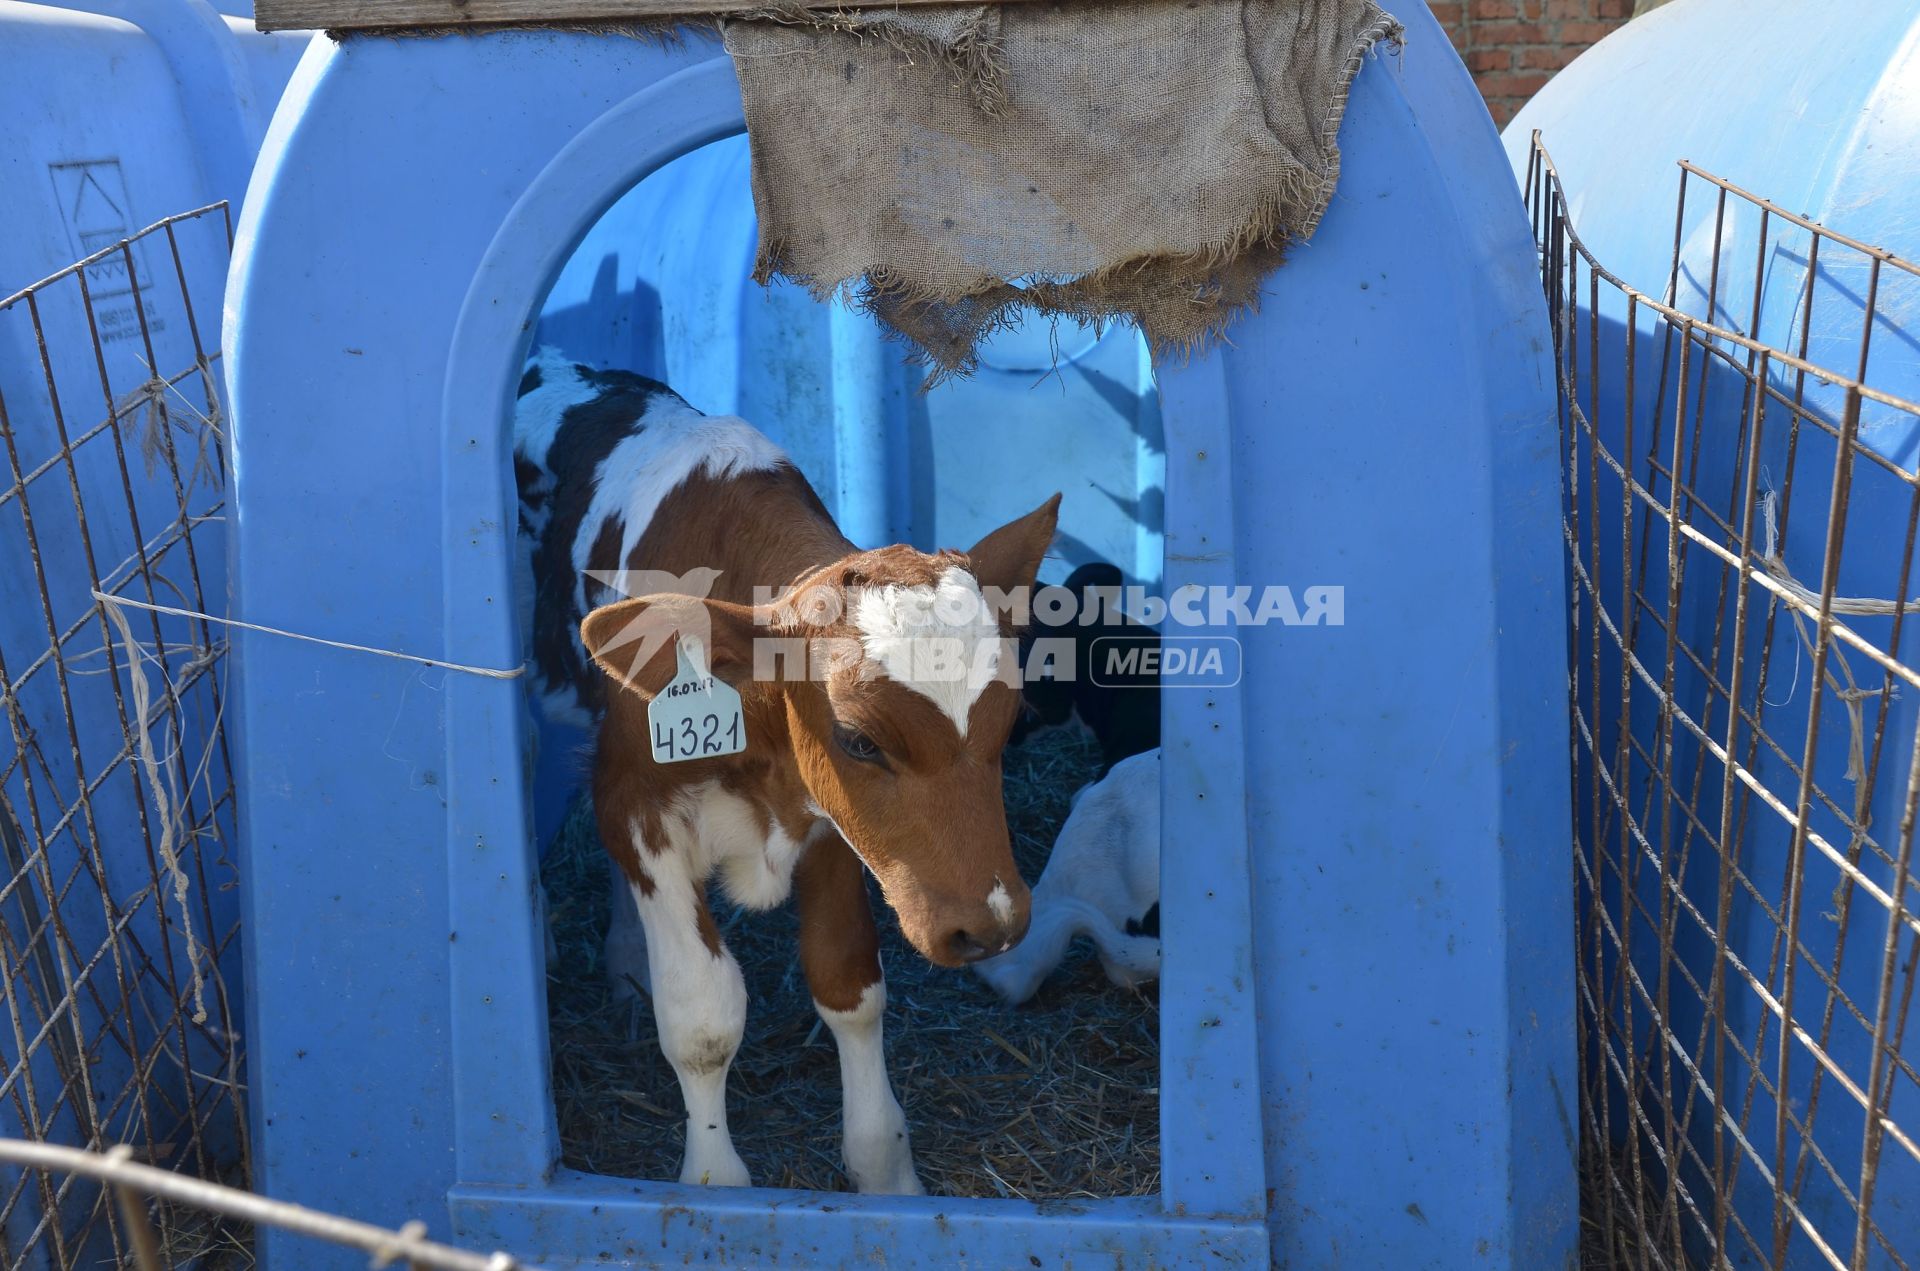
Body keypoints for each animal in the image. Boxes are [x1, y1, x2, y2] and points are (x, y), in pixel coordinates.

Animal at [514, 349, 1052, 1198]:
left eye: (1012, 717)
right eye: (859, 739)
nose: (993, 924)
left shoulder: (827, 815)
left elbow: (847, 982)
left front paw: (884, 1169)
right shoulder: (636, 800)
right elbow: (702, 1016)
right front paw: (715, 1180)